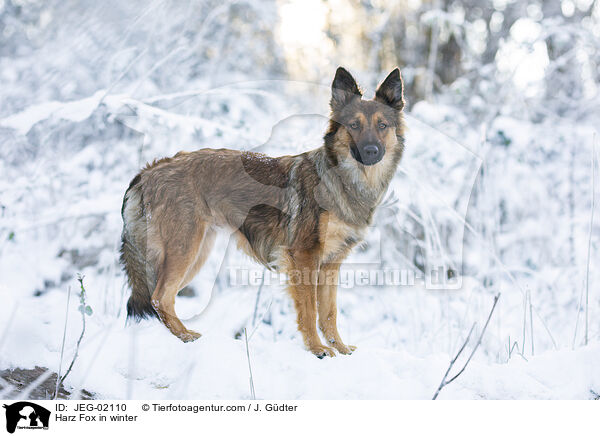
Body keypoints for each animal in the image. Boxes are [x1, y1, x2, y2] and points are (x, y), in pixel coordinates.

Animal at [119, 66, 406, 356]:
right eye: (354, 126)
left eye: (382, 126)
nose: (371, 151)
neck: (342, 178)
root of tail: (149, 171)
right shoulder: (304, 256)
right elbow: (310, 311)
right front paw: (317, 349)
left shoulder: (330, 263)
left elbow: (329, 313)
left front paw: (341, 349)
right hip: (185, 249)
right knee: (159, 298)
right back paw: (185, 336)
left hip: (196, 252)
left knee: (162, 297)